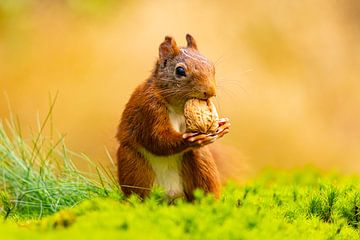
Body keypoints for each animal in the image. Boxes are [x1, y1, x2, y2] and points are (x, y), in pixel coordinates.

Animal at [116, 32, 232, 200]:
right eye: (180, 71)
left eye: (212, 67)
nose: (210, 92)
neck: (178, 107)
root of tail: (172, 195)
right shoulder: (148, 110)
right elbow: (156, 139)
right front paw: (188, 140)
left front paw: (224, 125)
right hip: (133, 166)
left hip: (202, 162)